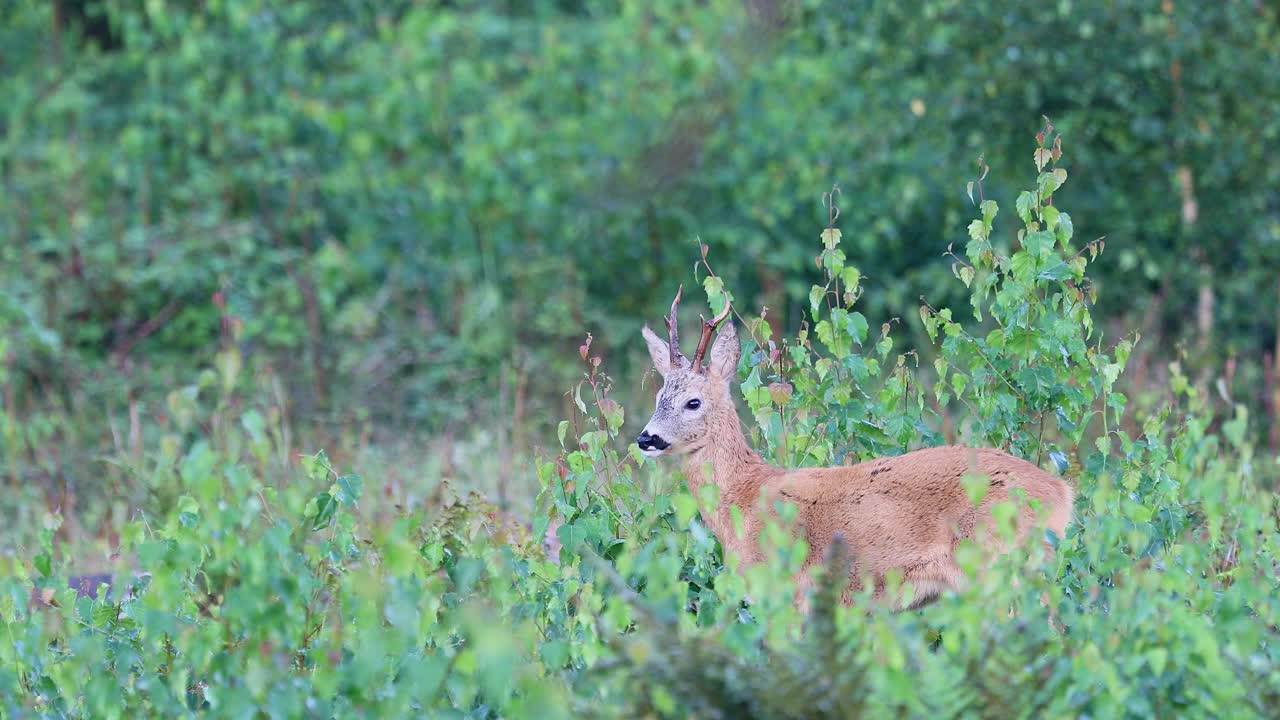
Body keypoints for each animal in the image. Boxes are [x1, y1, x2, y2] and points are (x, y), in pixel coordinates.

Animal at [637, 285, 1070, 604]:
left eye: (693, 401)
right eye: (658, 396)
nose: (646, 438)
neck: (744, 498)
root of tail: (1062, 493)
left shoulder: (790, 594)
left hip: (998, 566)